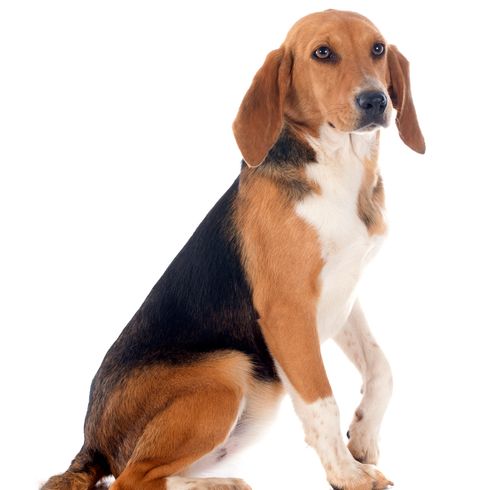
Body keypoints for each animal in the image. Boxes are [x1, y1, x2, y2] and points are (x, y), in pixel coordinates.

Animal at [43, 8, 424, 490]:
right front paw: (347, 473)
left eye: (377, 48)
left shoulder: (344, 293)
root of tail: (89, 443)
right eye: (323, 53)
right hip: (227, 371)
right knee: (130, 479)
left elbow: (381, 368)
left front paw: (364, 436)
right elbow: (321, 402)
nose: (376, 100)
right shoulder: (288, 312)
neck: (338, 165)